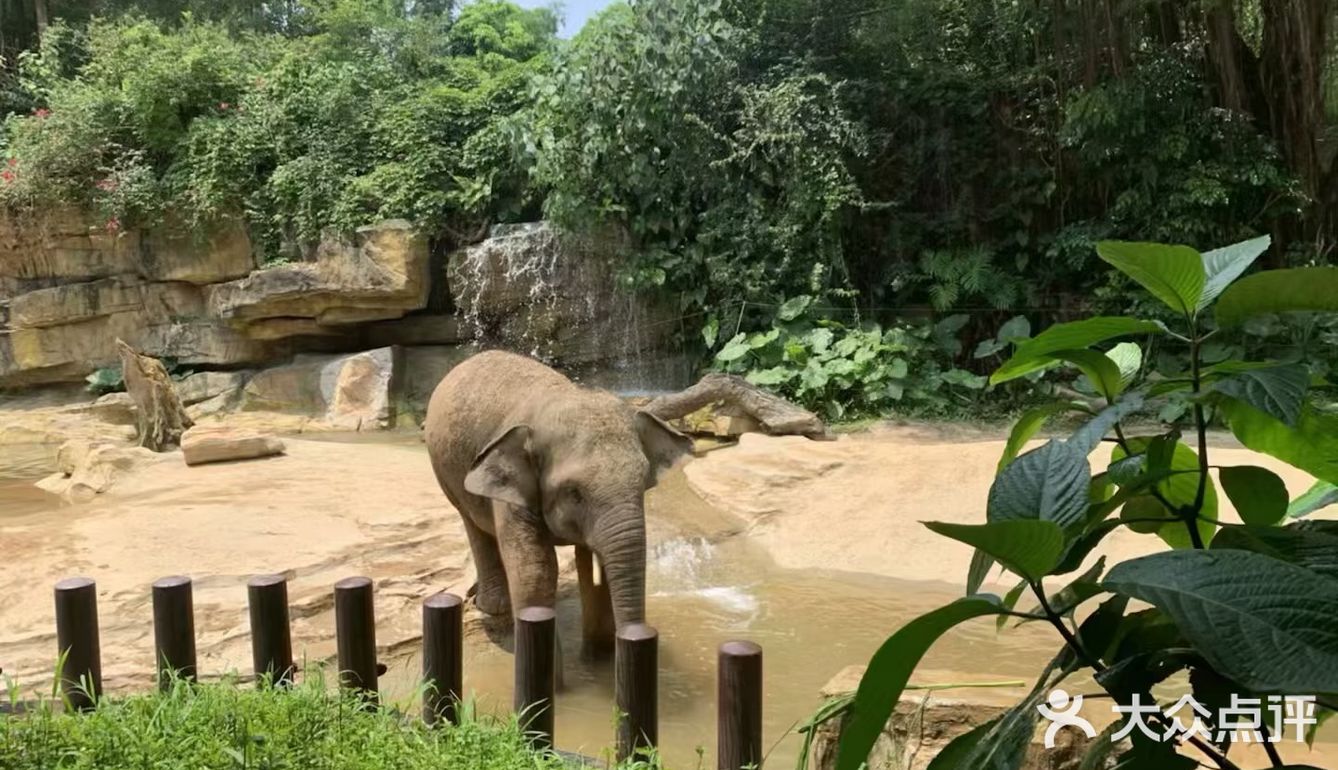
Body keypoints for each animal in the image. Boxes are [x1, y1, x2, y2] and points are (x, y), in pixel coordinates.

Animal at [422, 353, 695, 653]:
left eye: (643, 482)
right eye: (574, 493)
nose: (635, 638)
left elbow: (592, 564)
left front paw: (599, 653)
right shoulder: (513, 492)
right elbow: (536, 570)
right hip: (447, 473)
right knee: (473, 525)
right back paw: (494, 606)